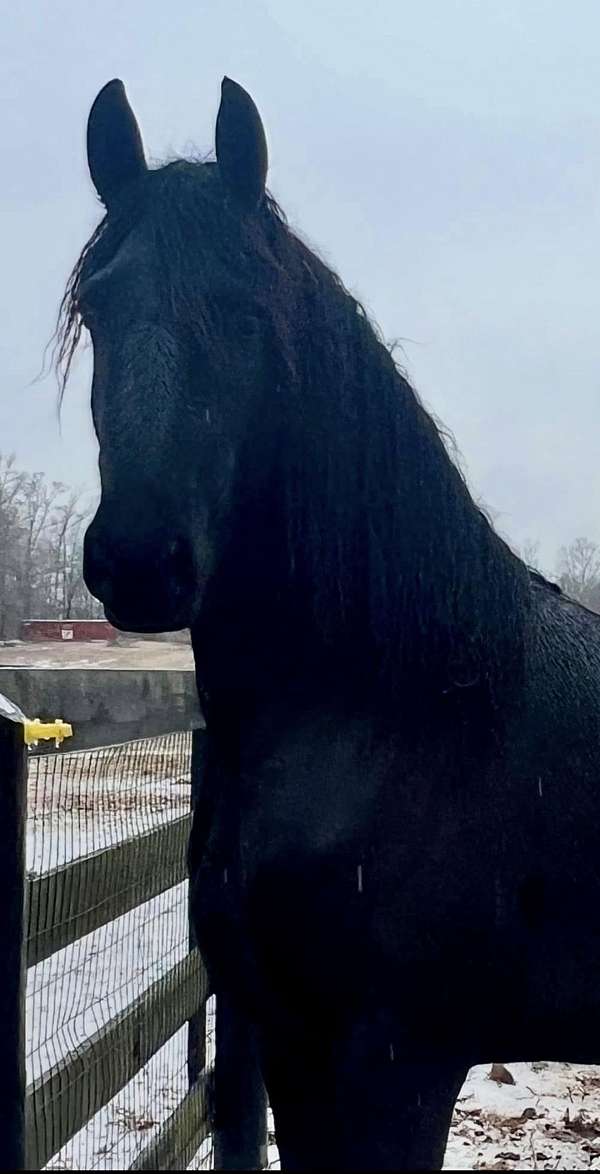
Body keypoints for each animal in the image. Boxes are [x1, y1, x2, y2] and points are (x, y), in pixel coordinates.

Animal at [58, 76, 600, 1170]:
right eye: (98, 306)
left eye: (245, 310)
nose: (139, 559)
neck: (395, 716)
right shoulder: (290, 1045)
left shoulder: (396, 1064)